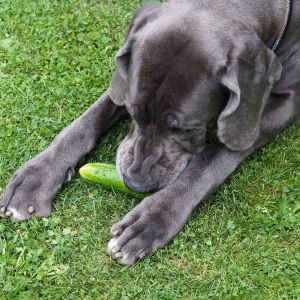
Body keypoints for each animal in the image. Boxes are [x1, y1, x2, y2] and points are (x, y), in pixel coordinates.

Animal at [0, 0, 300, 264]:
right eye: (134, 114)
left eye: (189, 129)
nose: (136, 184)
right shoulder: (123, 81)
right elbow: (89, 119)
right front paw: (38, 175)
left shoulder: (282, 103)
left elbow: (211, 158)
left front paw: (153, 217)